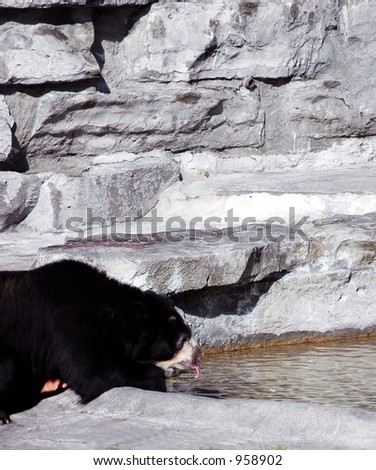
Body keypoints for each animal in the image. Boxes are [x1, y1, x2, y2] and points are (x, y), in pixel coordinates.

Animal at [0, 258, 201, 424]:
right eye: (182, 341)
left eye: (189, 333)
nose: (199, 354)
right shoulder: (68, 324)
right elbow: (91, 372)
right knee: (10, 364)